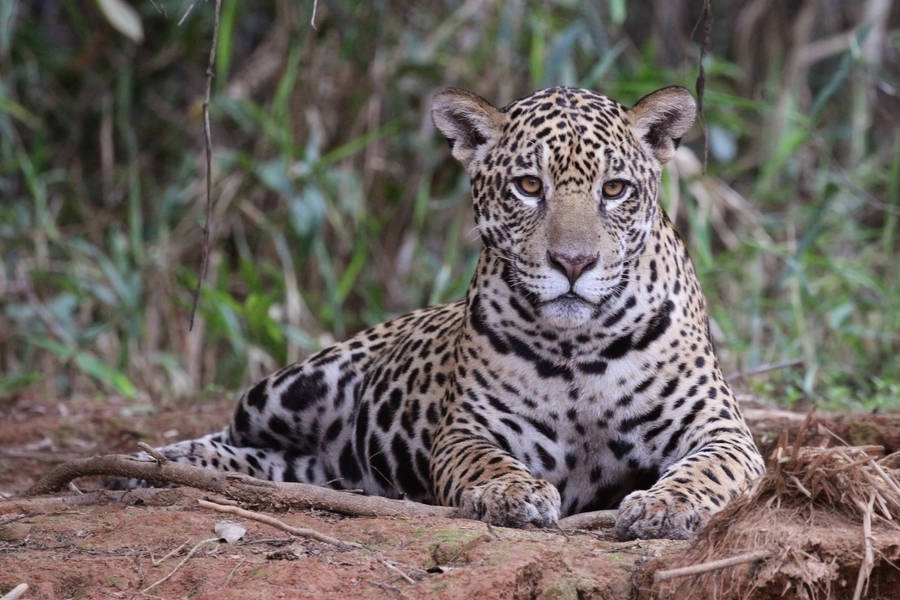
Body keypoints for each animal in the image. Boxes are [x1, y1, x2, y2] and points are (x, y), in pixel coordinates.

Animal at [140, 84, 765, 540]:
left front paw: (666, 507)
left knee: (276, 466)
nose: (573, 261)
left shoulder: (721, 429)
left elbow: (707, 469)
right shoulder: (470, 429)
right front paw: (514, 493)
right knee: (231, 435)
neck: (579, 345)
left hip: (316, 462)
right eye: (528, 186)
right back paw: (159, 463)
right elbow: (484, 462)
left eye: (614, 189)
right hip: (290, 389)